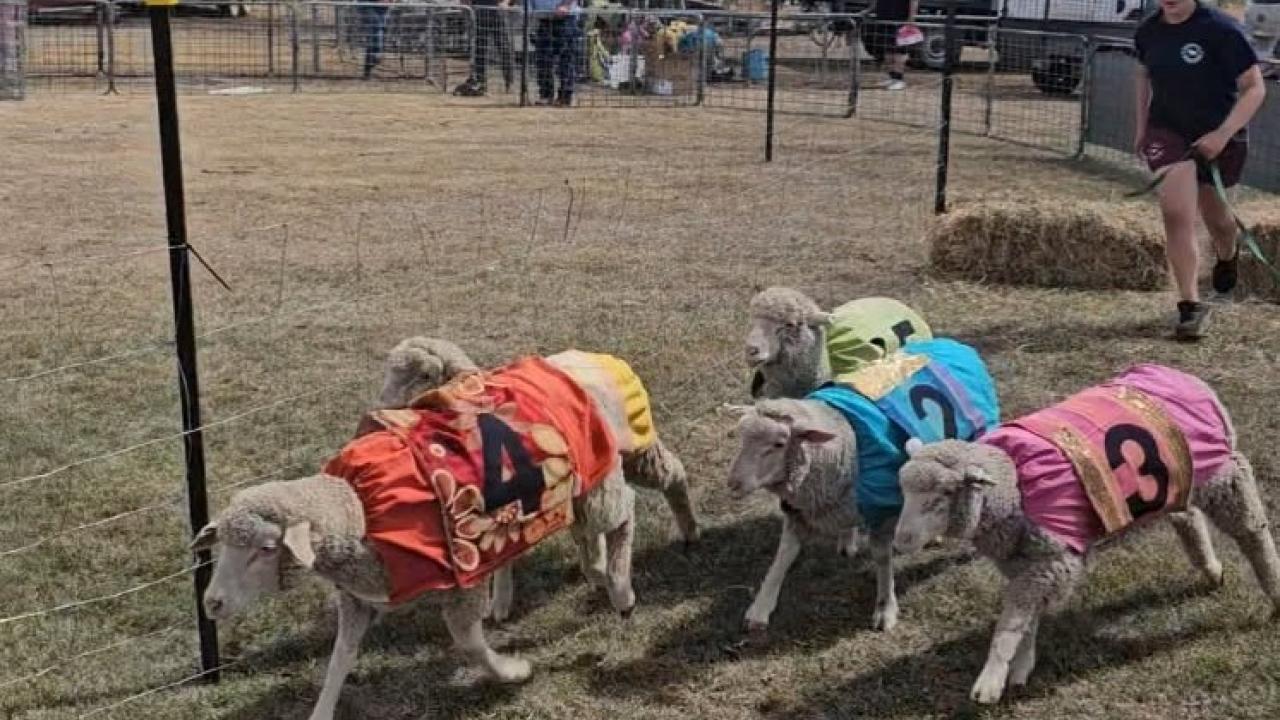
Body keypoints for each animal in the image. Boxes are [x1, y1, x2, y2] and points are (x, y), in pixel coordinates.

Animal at [194, 350, 682, 720]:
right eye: (222, 547)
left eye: (266, 548)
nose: (211, 604)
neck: (359, 511)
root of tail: (582, 359)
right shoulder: (358, 600)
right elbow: (338, 661)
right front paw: (321, 712)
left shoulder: (463, 583)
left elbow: (471, 646)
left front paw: (514, 671)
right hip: (572, 493)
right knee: (595, 529)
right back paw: (598, 573)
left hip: (601, 480)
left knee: (627, 512)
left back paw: (625, 585)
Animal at [725, 337, 1000, 635]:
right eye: (740, 437)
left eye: (778, 444)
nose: (733, 484)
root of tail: (955, 343)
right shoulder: (802, 509)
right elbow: (783, 556)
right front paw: (760, 608)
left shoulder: (882, 510)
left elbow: (882, 557)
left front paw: (885, 608)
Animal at [893, 363, 1280, 705]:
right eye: (905, 493)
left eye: (942, 496)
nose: (899, 543)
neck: (1015, 488)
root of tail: (1183, 376)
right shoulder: (1030, 562)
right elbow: (1027, 619)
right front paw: (1021, 666)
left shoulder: (1051, 560)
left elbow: (1009, 626)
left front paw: (990, 681)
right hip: (1180, 481)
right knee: (1187, 517)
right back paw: (1211, 569)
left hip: (1225, 475)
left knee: (1253, 535)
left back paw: (1274, 593)